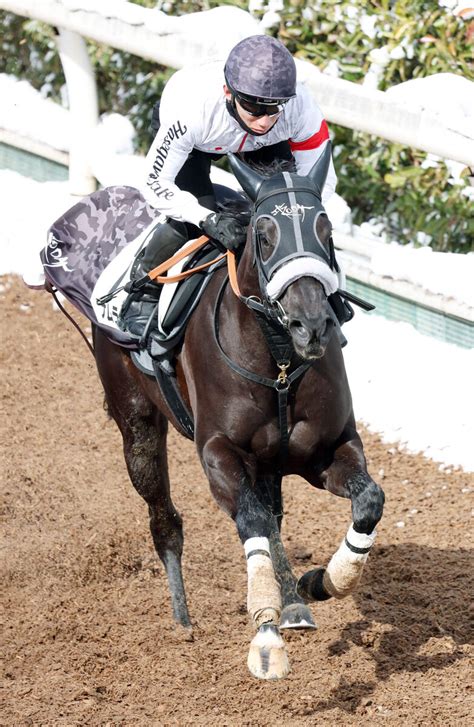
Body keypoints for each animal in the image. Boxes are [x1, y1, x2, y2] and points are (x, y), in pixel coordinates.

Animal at [90, 146, 384, 684]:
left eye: (327, 231)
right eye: (264, 235)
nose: (312, 326)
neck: (279, 361)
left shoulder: (326, 451)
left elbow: (368, 501)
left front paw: (322, 582)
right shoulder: (219, 455)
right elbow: (251, 520)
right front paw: (266, 638)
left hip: (269, 462)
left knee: (273, 512)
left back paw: (294, 602)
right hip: (137, 424)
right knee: (165, 518)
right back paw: (183, 620)